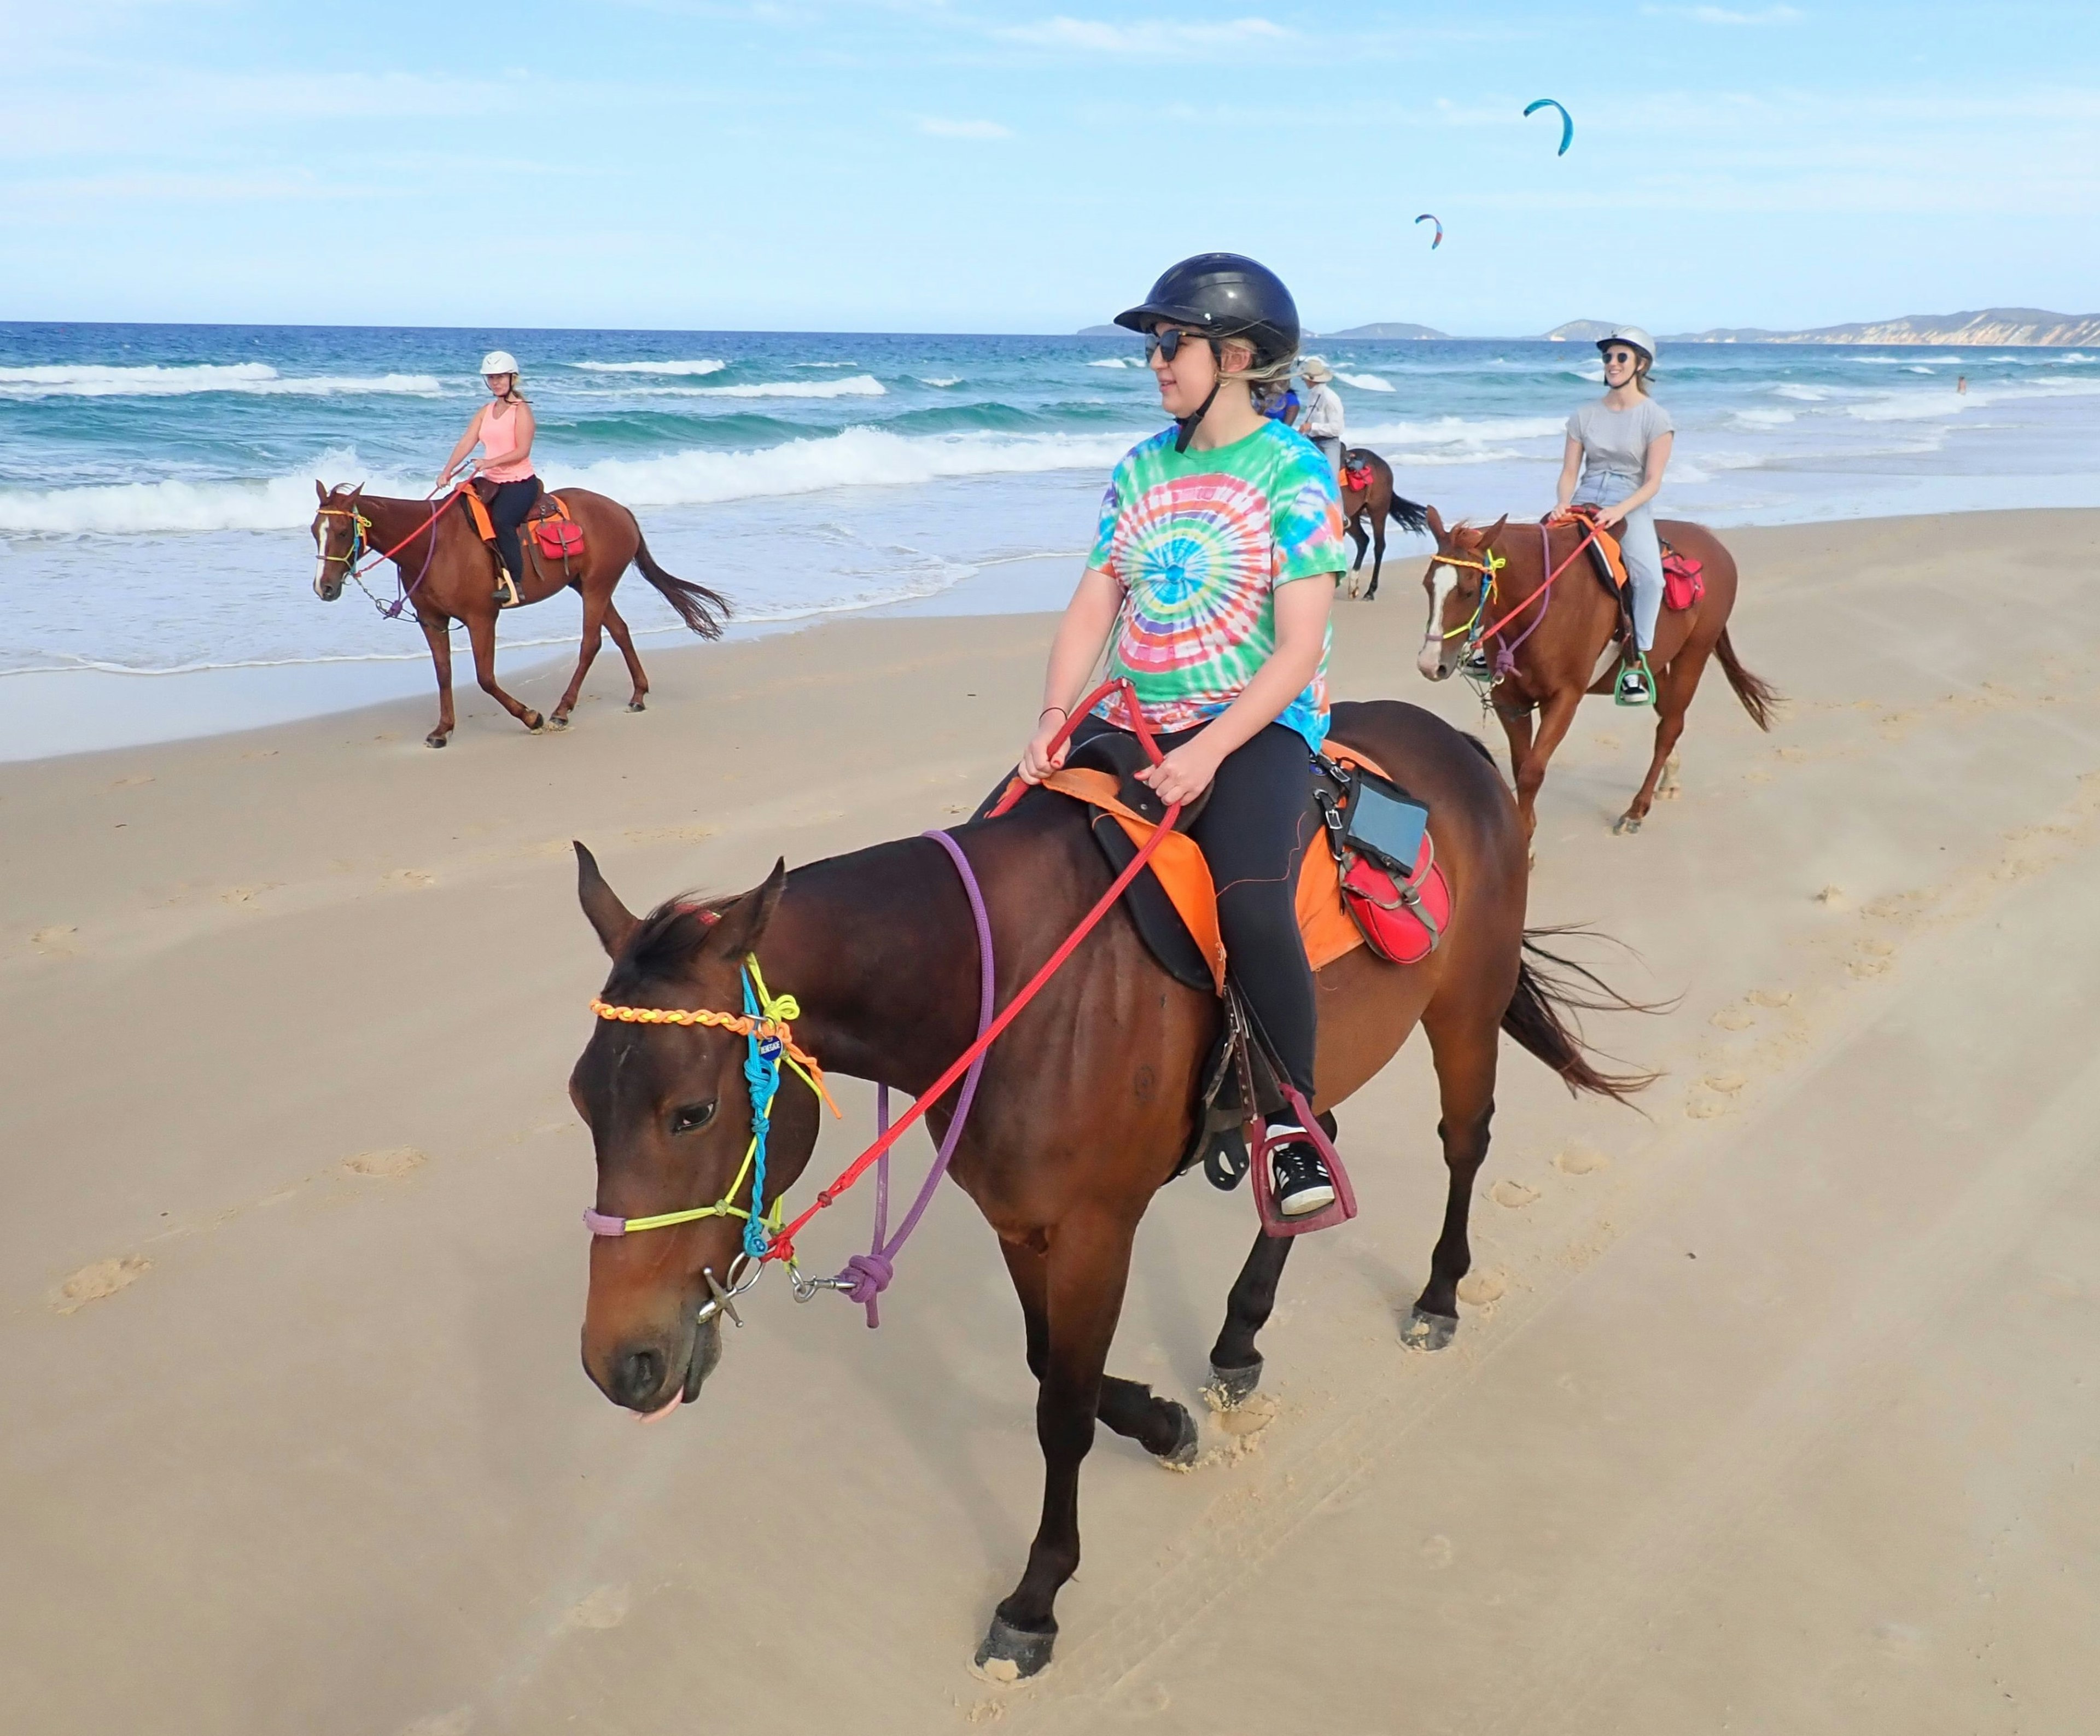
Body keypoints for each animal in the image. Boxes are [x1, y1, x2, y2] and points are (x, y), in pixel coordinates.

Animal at [311, 482, 731, 747]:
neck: (434, 543)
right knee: (621, 632)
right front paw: (443, 730)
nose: (324, 588)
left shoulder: (482, 618)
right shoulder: (433, 622)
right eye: (316, 530)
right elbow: (444, 675)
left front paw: (531, 717)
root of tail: (621, 510)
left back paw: (561, 711)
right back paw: (638, 694)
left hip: (597, 587)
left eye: (344, 533)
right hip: (588, 586)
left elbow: (485, 678)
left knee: (592, 642)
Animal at [567, 697, 1646, 1687]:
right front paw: (1166, 1423)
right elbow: (1051, 1363)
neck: (996, 982)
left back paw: (1437, 1294)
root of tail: (1454, 737)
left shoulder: (1095, 1229)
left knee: (1464, 1143)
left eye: (693, 1111)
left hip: (1464, 1004)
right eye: (581, 1100)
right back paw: (1240, 1335)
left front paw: (1036, 1595)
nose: (620, 1361)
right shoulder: (1019, 1218)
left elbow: (1065, 1407)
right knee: (1310, 1149)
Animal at [1344, 447, 1428, 604]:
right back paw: (1353, 586)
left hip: (1378, 511)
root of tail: (1382, 463)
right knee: (1363, 540)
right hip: (1353, 516)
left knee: (1379, 546)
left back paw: (1370, 592)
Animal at [1419, 510, 1781, 843]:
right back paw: (1669, 777)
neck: (1541, 602)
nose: (1429, 664)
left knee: (1670, 728)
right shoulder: (1509, 700)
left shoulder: (1565, 698)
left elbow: (1532, 771)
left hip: (1694, 653)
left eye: (1467, 591)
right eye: (1427, 586)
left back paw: (1636, 810)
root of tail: (1713, 542)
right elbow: (1521, 765)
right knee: (1668, 714)